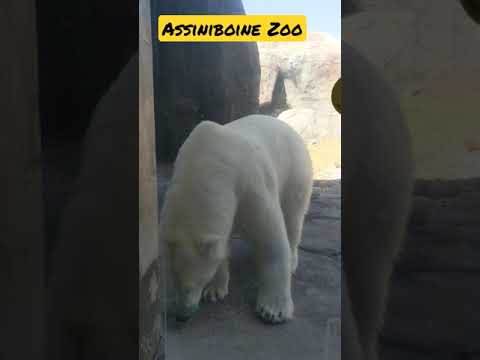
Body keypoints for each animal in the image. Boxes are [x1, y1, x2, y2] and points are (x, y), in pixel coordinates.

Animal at [159, 114, 314, 324]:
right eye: (173, 280)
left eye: (190, 286)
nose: (182, 315)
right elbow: (222, 245)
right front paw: (215, 290)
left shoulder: (249, 184)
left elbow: (270, 236)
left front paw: (273, 309)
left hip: (295, 169)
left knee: (293, 216)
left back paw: (292, 261)